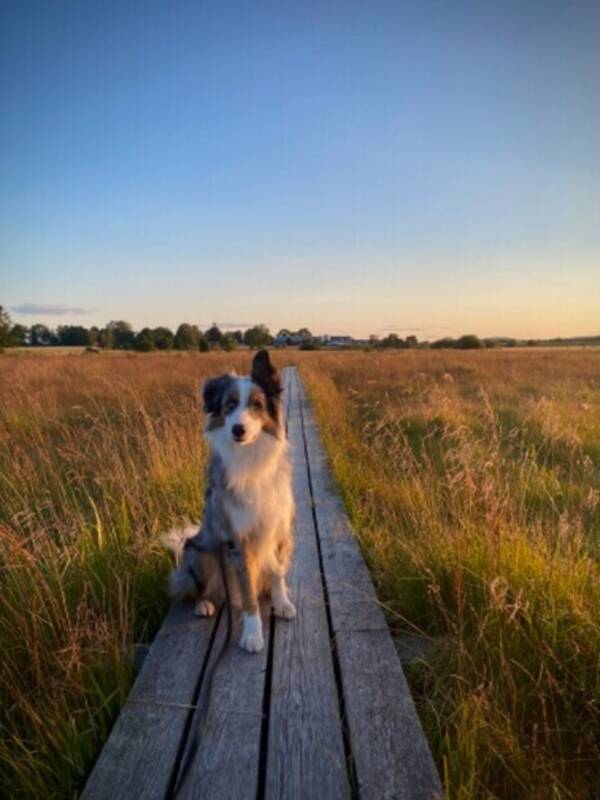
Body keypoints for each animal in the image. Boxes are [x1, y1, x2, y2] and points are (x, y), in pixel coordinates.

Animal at [169, 354, 296, 652]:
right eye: (229, 405)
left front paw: (282, 602)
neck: (249, 457)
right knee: (198, 588)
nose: (238, 429)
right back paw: (204, 603)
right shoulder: (238, 539)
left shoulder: (278, 528)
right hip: (198, 551)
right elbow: (248, 593)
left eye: (257, 405)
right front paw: (252, 634)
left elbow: (277, 572)